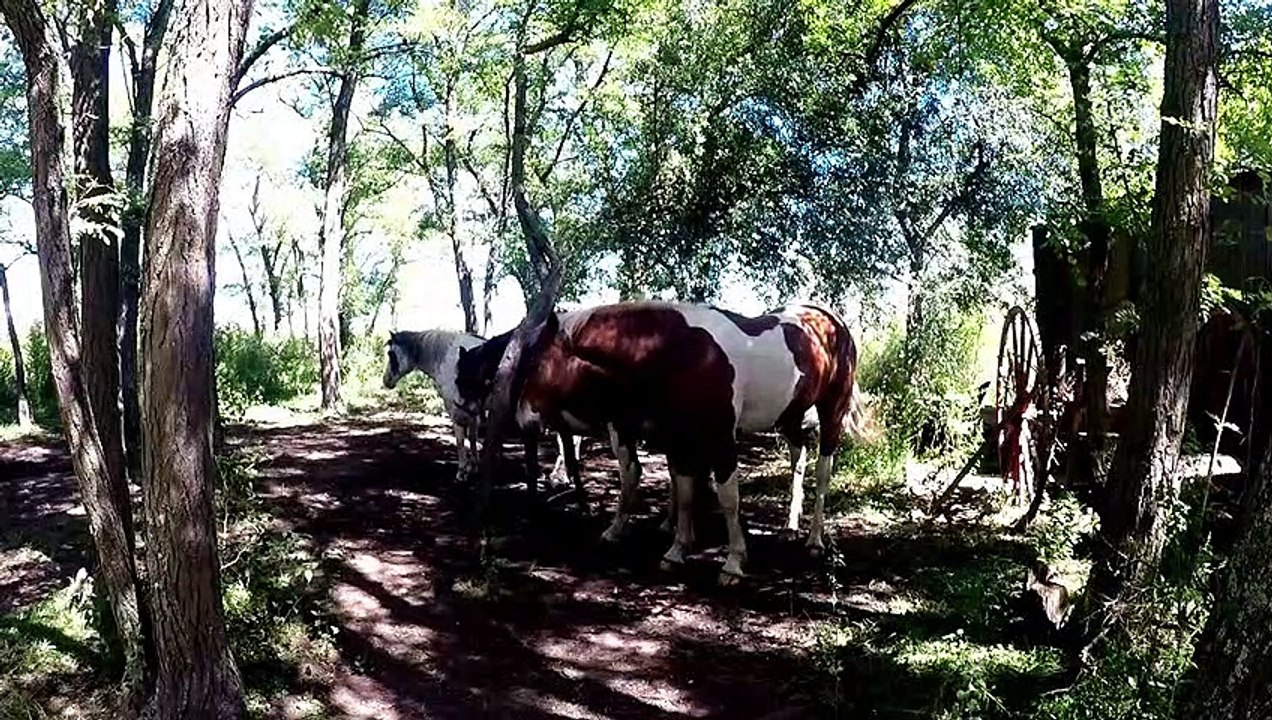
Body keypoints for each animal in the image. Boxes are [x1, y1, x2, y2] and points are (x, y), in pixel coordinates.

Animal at [381, 329, 591, 511]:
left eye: (391, 354)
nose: (386, 381)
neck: (448, 361)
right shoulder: (472, 411)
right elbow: (473, 438)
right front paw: (473, 467)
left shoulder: (457, 412)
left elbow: (461, 442)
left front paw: (462, 472)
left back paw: (559, 477)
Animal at [455, 301, 871, 584]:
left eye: (538, 363)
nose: (523, 418)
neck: (681, 352)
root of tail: (831, 322)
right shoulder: (678, 436)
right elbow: (684, 490)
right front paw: (675, 550)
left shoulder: (720, 438)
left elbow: (727, 497)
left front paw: (734, 562)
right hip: (787, 416)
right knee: (799, 454)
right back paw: (790, 525)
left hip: (831, 412)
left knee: (823, 469)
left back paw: (814, 539)